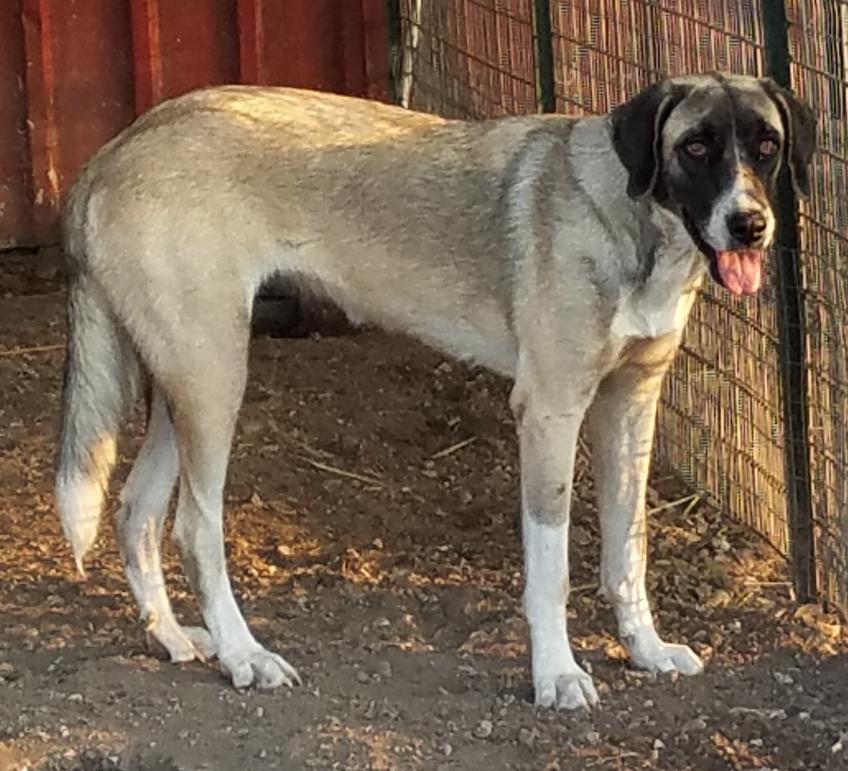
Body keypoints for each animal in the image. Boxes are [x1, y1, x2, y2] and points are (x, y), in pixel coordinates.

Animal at [54, 74, 816, 712]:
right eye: (695, 146)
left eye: (767, 147)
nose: (751, 224)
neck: (632, 223)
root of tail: (113, 151)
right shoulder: (550, 411)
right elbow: (551, 569)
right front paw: (557, 674)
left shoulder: (630, 405)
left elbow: (629, 550)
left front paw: (646, 650)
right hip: (214, 377)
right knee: (193, 527)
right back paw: (246, 655)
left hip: (185, 384)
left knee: (136, 510)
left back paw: (173, 638)